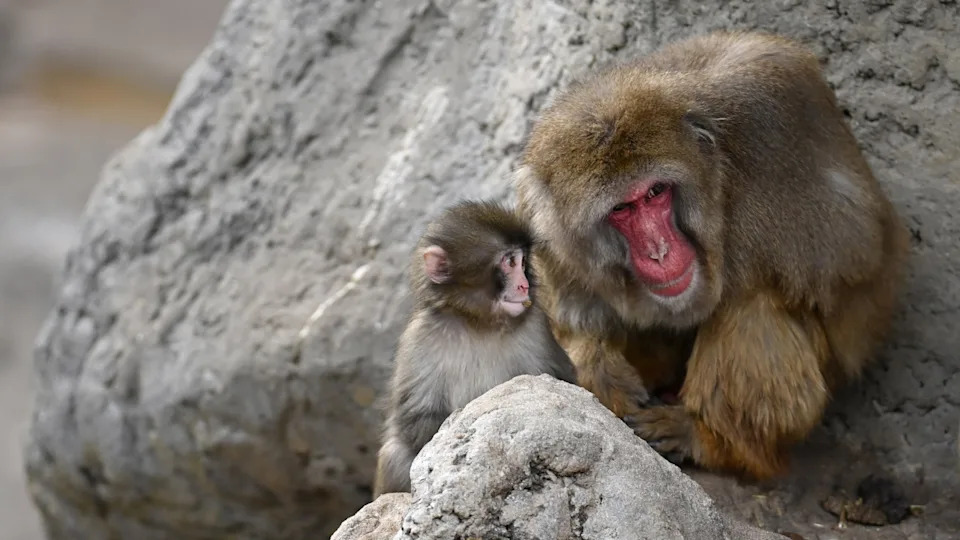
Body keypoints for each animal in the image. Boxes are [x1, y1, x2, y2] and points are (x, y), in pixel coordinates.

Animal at [372, 200, 577, 496]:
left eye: (523, 261)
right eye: (509, 261)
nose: (524, 285)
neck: (480, 323)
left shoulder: (536, 326)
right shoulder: (420, 337)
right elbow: (416, 418)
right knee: (394, 454)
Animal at [513, 31, 909, 480]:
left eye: (655, 192)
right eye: (622, 209)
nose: (659, 250)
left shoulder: (770, 129)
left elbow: (849, 250)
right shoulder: (542, 217)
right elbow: (572, 314)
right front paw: (597, 366)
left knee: (751, 305)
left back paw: (711, 440)